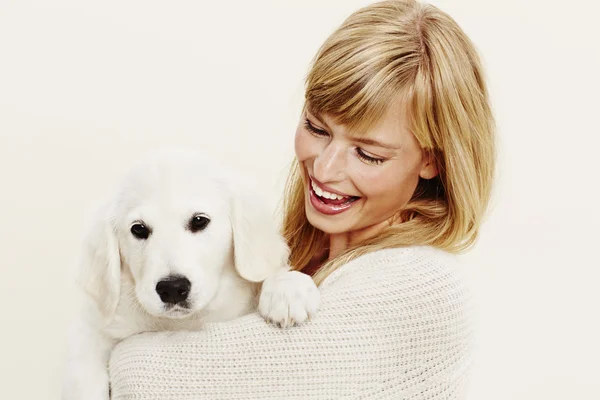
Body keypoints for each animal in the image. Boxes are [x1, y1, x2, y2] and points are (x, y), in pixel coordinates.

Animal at [63, 149, 322, 400]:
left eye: (199, 221)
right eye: (138, 229)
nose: (172, 288)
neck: (183, 323)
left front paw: (287, 290)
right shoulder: (90, 333)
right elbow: (84, 378)